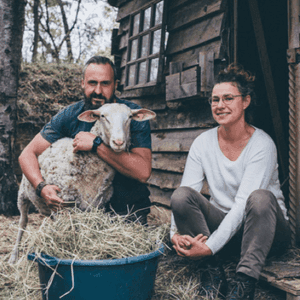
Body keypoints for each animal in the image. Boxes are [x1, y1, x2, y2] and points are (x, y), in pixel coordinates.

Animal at [8, 102, 156, 262]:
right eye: (102, 116)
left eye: (129, 117)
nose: (118, 142)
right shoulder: (63, 202)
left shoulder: (96, 205)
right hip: (23, 194)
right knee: (23, 222)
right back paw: (13, 257)